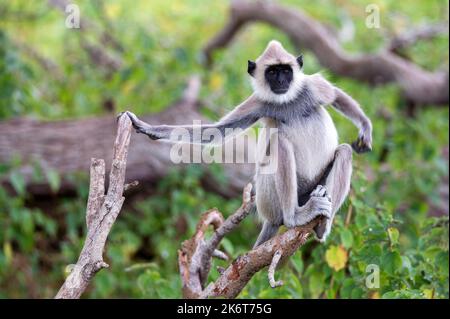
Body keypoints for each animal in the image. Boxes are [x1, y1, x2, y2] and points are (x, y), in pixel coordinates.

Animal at [124, 40, 372, 249]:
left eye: (286, 71)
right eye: (272, 72)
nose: (281, 81)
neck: (287, 101)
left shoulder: (310, 87)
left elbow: (336, 95)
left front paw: (365, 129)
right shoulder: (259, 103)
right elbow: (216, 132)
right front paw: (150, 128)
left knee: (344, 151)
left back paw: (321, 225)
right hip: (268, 196)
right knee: (280, 144)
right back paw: (294, 217)